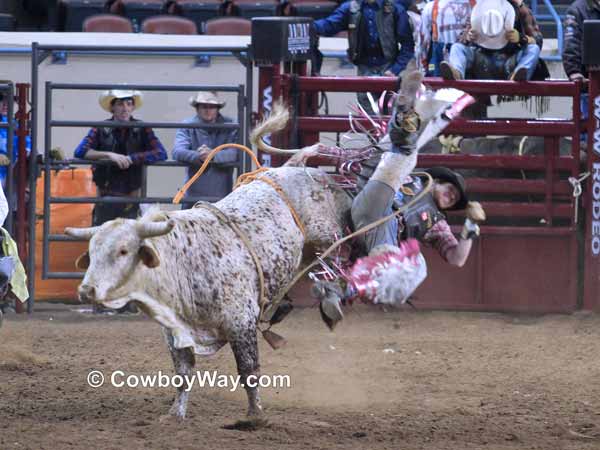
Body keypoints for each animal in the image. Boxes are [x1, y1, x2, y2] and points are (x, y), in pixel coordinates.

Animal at [65, 60, 478, 426]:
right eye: (91, 252)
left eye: (123, 251)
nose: (87, 290)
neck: (186, 259)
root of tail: (302, 171)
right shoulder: (175, 332)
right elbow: (183, 373)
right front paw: (175, 414)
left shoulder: (240, 323)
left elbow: (249, 369)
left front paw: (255, 416)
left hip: (327, 232)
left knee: (343, 251)